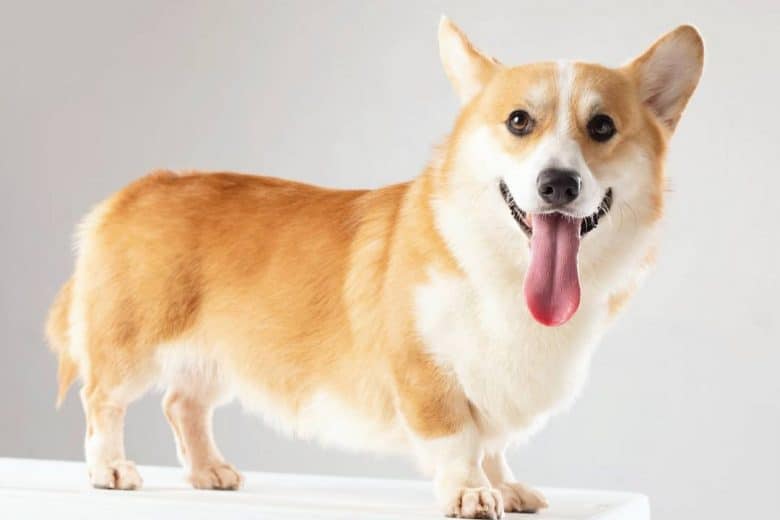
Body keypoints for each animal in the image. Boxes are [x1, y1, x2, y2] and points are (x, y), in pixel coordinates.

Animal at [45, 17, 704, 520]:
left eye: (603, 127)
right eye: (519, 121)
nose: (557, 184)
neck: (503, 268)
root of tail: (131, 192)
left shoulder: (491, 383)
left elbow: (492, 440)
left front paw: (505, 484)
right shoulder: (426, 372)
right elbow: (459, 438)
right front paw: (471, 492)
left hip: (214, 354)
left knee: (182, 405)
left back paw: (209, 471)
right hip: (134, 344)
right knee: (102, 399)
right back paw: (109, 468)